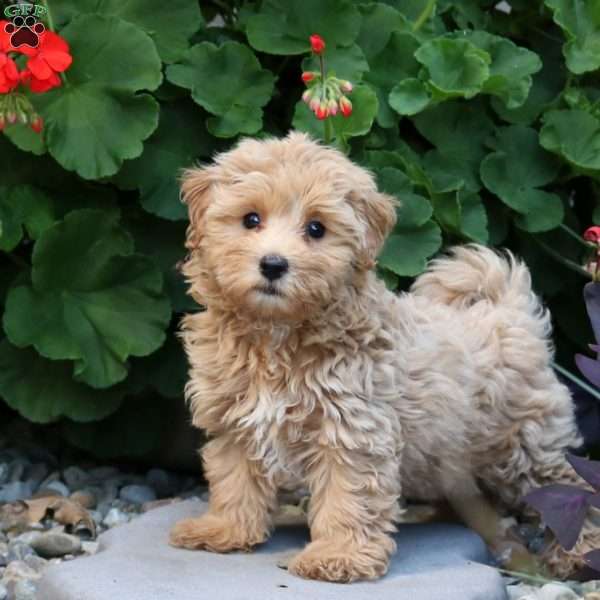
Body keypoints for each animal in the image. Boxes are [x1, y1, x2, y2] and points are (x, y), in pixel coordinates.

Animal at [169, 131, 600, 580]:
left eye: (316, 228)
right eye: (250, 219)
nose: (273, 264)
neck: (277, 335)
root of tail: (508, 311)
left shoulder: (352, 429)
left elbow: (347, 496)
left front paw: (337, 555)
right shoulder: (235, 420)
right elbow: (235, 480)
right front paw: (224, 529)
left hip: (528, 443)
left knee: (570, 489)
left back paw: (578, 553)